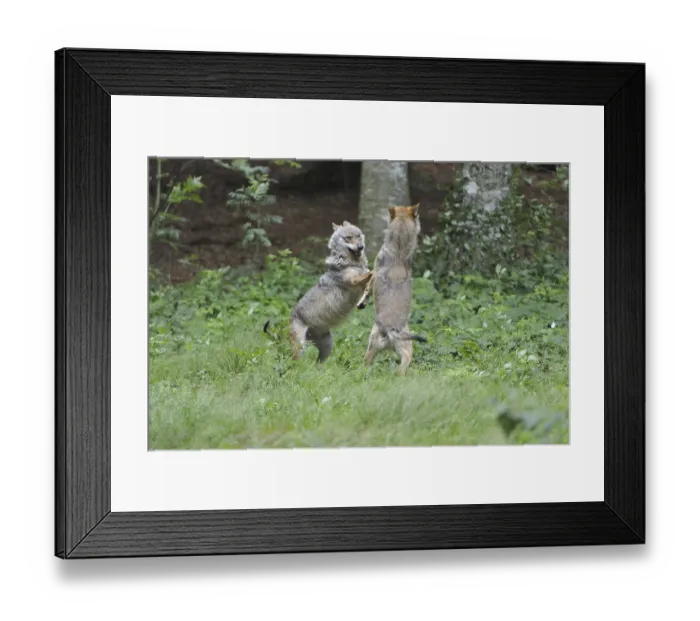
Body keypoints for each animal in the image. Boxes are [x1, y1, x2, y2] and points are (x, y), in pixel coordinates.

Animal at [288, 221, 373, 362]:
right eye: (348, 238)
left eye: (358, 235)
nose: (360, 247)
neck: (353, 263)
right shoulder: (354, 280)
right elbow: (372, 273)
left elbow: (370, 282)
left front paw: (363, 302)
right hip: (300, 349)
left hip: (327, 346)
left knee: (318, 363)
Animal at [357, 204, 426, 375]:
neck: (399, 249)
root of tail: (391, 332)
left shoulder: (374, 273)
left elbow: (367, 285)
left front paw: (362, 302)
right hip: (407, 348)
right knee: (403, 366)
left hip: (372, 344)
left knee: (366, 362)